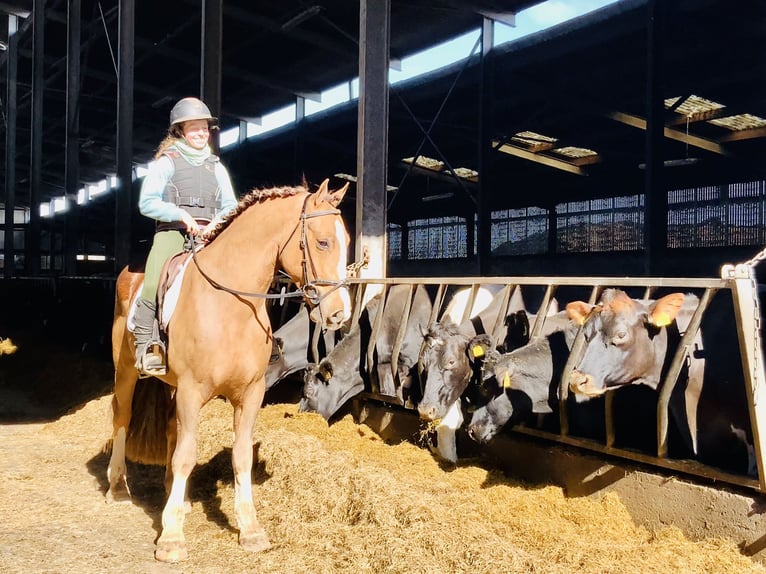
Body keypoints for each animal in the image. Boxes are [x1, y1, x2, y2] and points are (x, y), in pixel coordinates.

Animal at [107, 180, 352, 564]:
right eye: (324, 242)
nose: (340, 314)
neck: (231, 305)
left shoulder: (250, 393)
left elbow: (240, 455)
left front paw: (250, 529)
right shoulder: (192, 389)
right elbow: (186, 456)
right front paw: (171, 539)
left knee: (171, 429)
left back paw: (177, 499)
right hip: (128, 372)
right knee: (123, 416)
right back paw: (118, 487)